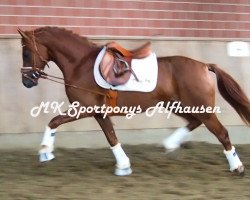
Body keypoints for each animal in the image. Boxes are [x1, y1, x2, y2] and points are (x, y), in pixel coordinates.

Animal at [17, 27, 248, 176]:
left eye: (26, 53)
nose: (26, 81)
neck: (81, 65)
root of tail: (203, 65)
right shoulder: (99, 112)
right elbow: (111, 137)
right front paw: (123, 166)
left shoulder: (84, 108)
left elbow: (54, 121)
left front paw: (45, 152)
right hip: (176, 105)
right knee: (194, 122)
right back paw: (170, 144)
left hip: (202, 109)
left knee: (222, 133)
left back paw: (237, 167)